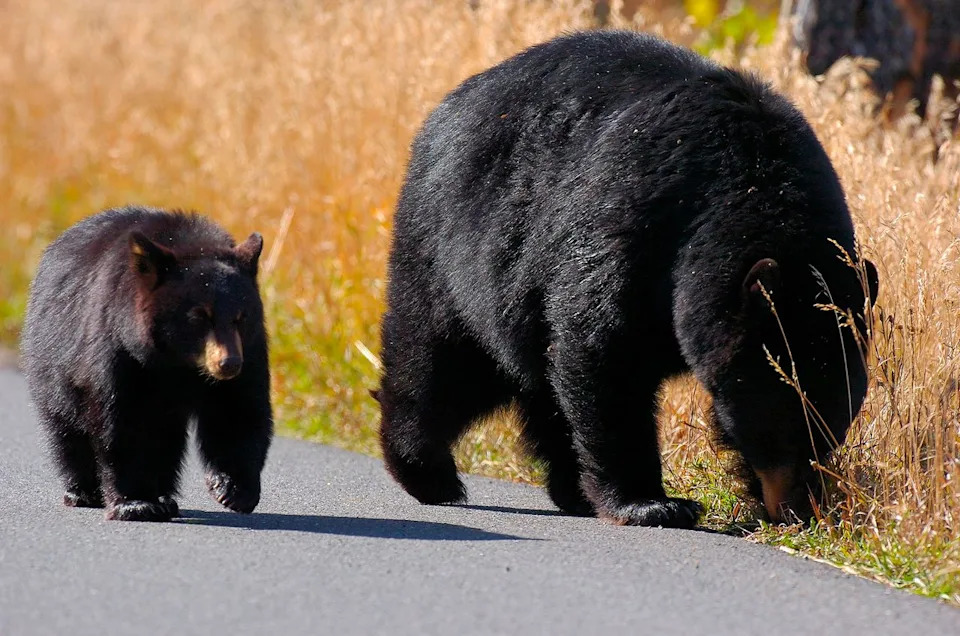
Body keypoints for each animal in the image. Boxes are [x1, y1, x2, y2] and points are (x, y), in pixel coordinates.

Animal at [21, 206, 273, 522]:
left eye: (241, 317)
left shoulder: (250, 350)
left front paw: (233, 489)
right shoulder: (119, 348)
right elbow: (124, 421)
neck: (177, 363)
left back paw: (164, 496)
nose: (228, 364)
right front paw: (135, 503)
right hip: (53, 364)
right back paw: (83, 491)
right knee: (66, 428)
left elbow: (238, 410)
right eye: (199, 316)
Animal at [376, 30, 879, 528]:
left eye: (832, 428)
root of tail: (446, 108)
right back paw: (427, 471)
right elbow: (606, 351)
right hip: (453, 250)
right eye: (781, 425)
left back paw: (571, 489)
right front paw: (653, 503)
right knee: (441, 359)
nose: (798, 508)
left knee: (542, 386)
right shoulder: (636, 226)